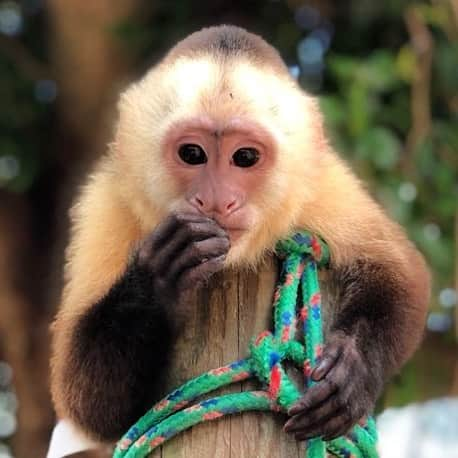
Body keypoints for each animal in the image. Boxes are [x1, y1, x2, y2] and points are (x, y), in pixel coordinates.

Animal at [50, 26, 430, 448]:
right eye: (192, 153)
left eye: (245, 157)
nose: (216, 200)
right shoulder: (108, 205)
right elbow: (89, 406)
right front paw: (160, 277)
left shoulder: (319, 187)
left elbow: (399, 272)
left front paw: (353, 368)